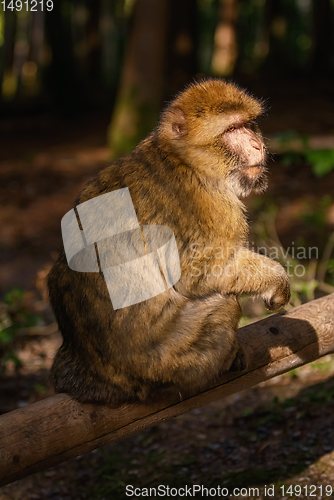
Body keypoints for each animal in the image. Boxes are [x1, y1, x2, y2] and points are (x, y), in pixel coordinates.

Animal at [47, 79, 290, 406]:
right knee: (224, 306)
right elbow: (199, 274)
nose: (257, 145)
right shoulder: (211, 205)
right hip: (167, 359)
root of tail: (97, 375)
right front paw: (278, 282)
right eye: (232, 129)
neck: (184, 159)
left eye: (248, 124)